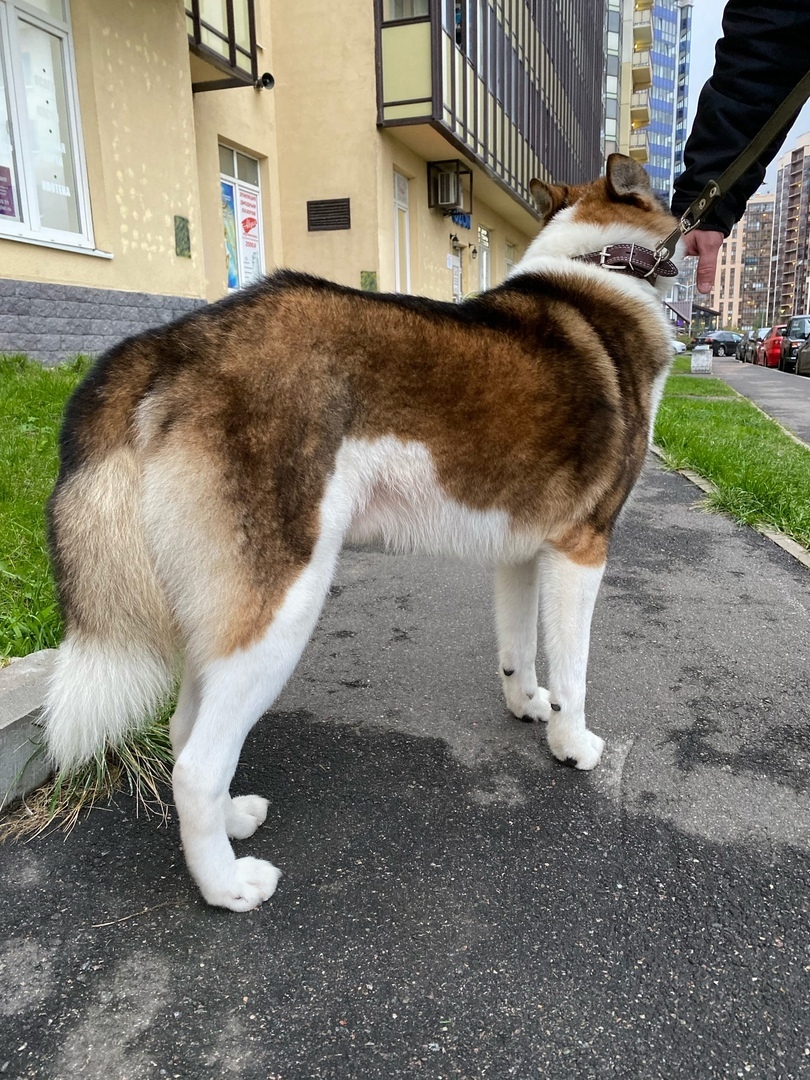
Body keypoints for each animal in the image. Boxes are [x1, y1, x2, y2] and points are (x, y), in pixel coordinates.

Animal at [41, 154, 682, 911]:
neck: (600, 262)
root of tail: (175, 340)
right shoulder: (582, 550)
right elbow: (575, 671)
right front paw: (572, 744)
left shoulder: (524, 554)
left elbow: (519, 649)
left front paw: (528, 704)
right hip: (283, 607)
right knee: (197, 762)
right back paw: (227, 885)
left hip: (220, 606)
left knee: (183, 729)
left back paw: (233, 819)